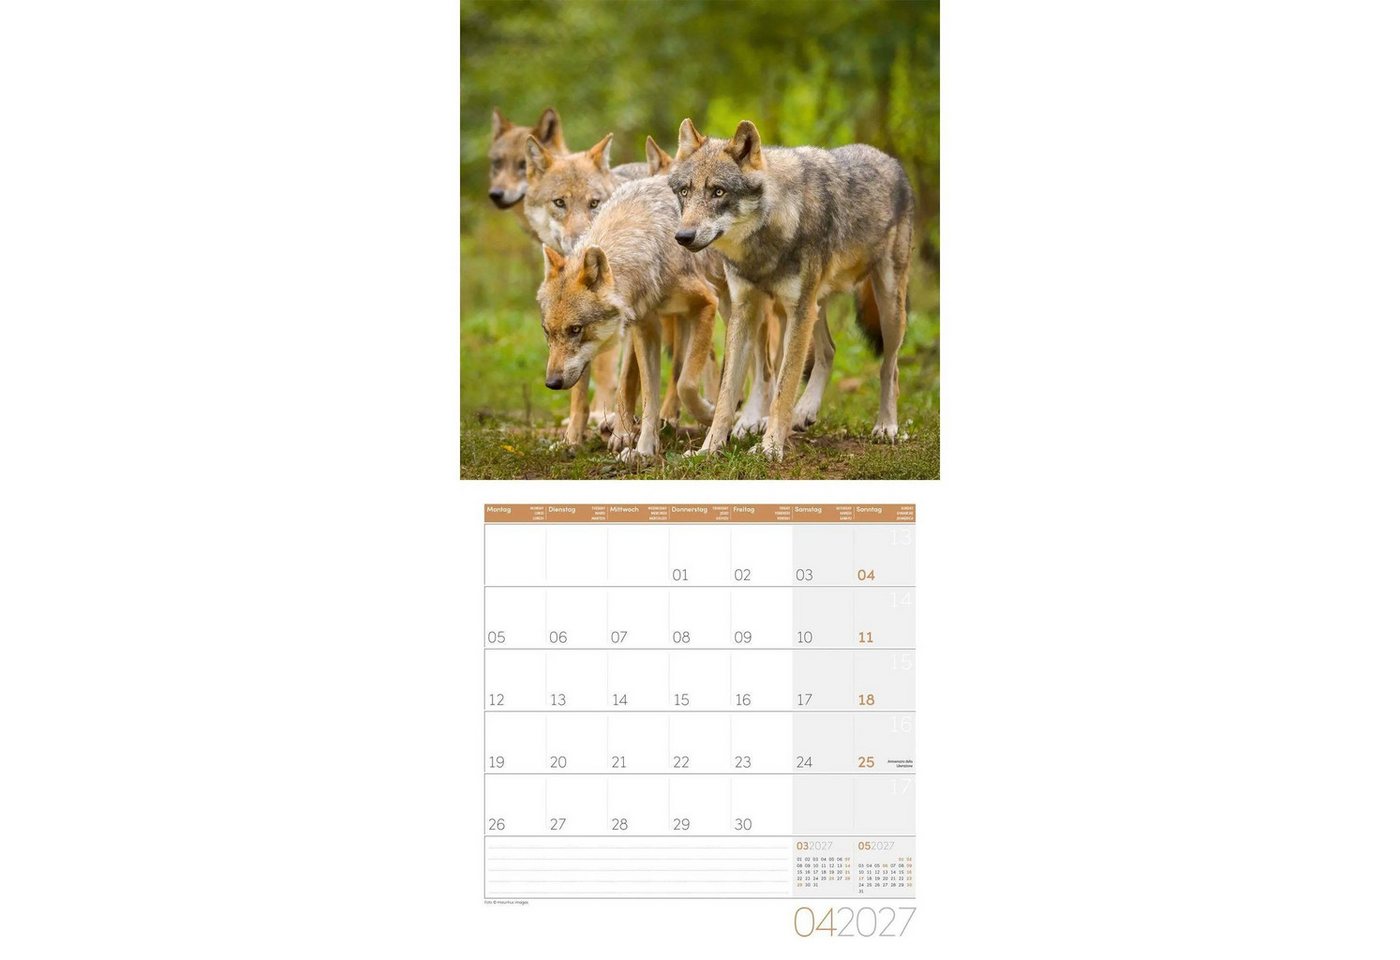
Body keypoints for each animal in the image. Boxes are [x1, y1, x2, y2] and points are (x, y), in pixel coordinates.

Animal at [536, 177, 718, 461]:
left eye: (576, 329)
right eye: (547, 332)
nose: (552, 383)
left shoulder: (707, 303)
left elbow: (686, 384)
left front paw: (709, 413)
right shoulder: (645, 326)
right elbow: (649, 396)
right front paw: (644, 450)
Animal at [667, 119, 913, 459]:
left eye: (718, 191)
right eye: (685, 191)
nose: (683, 236)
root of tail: (890, 160)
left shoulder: (797, 311)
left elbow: (783, 388)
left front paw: (770, 447)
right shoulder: (746, 311)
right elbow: (728, 392)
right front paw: (710, 449)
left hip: (885, 306)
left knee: (890, 368)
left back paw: (886, 426)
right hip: (813, 307)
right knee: (829, 351)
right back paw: (804, 412)